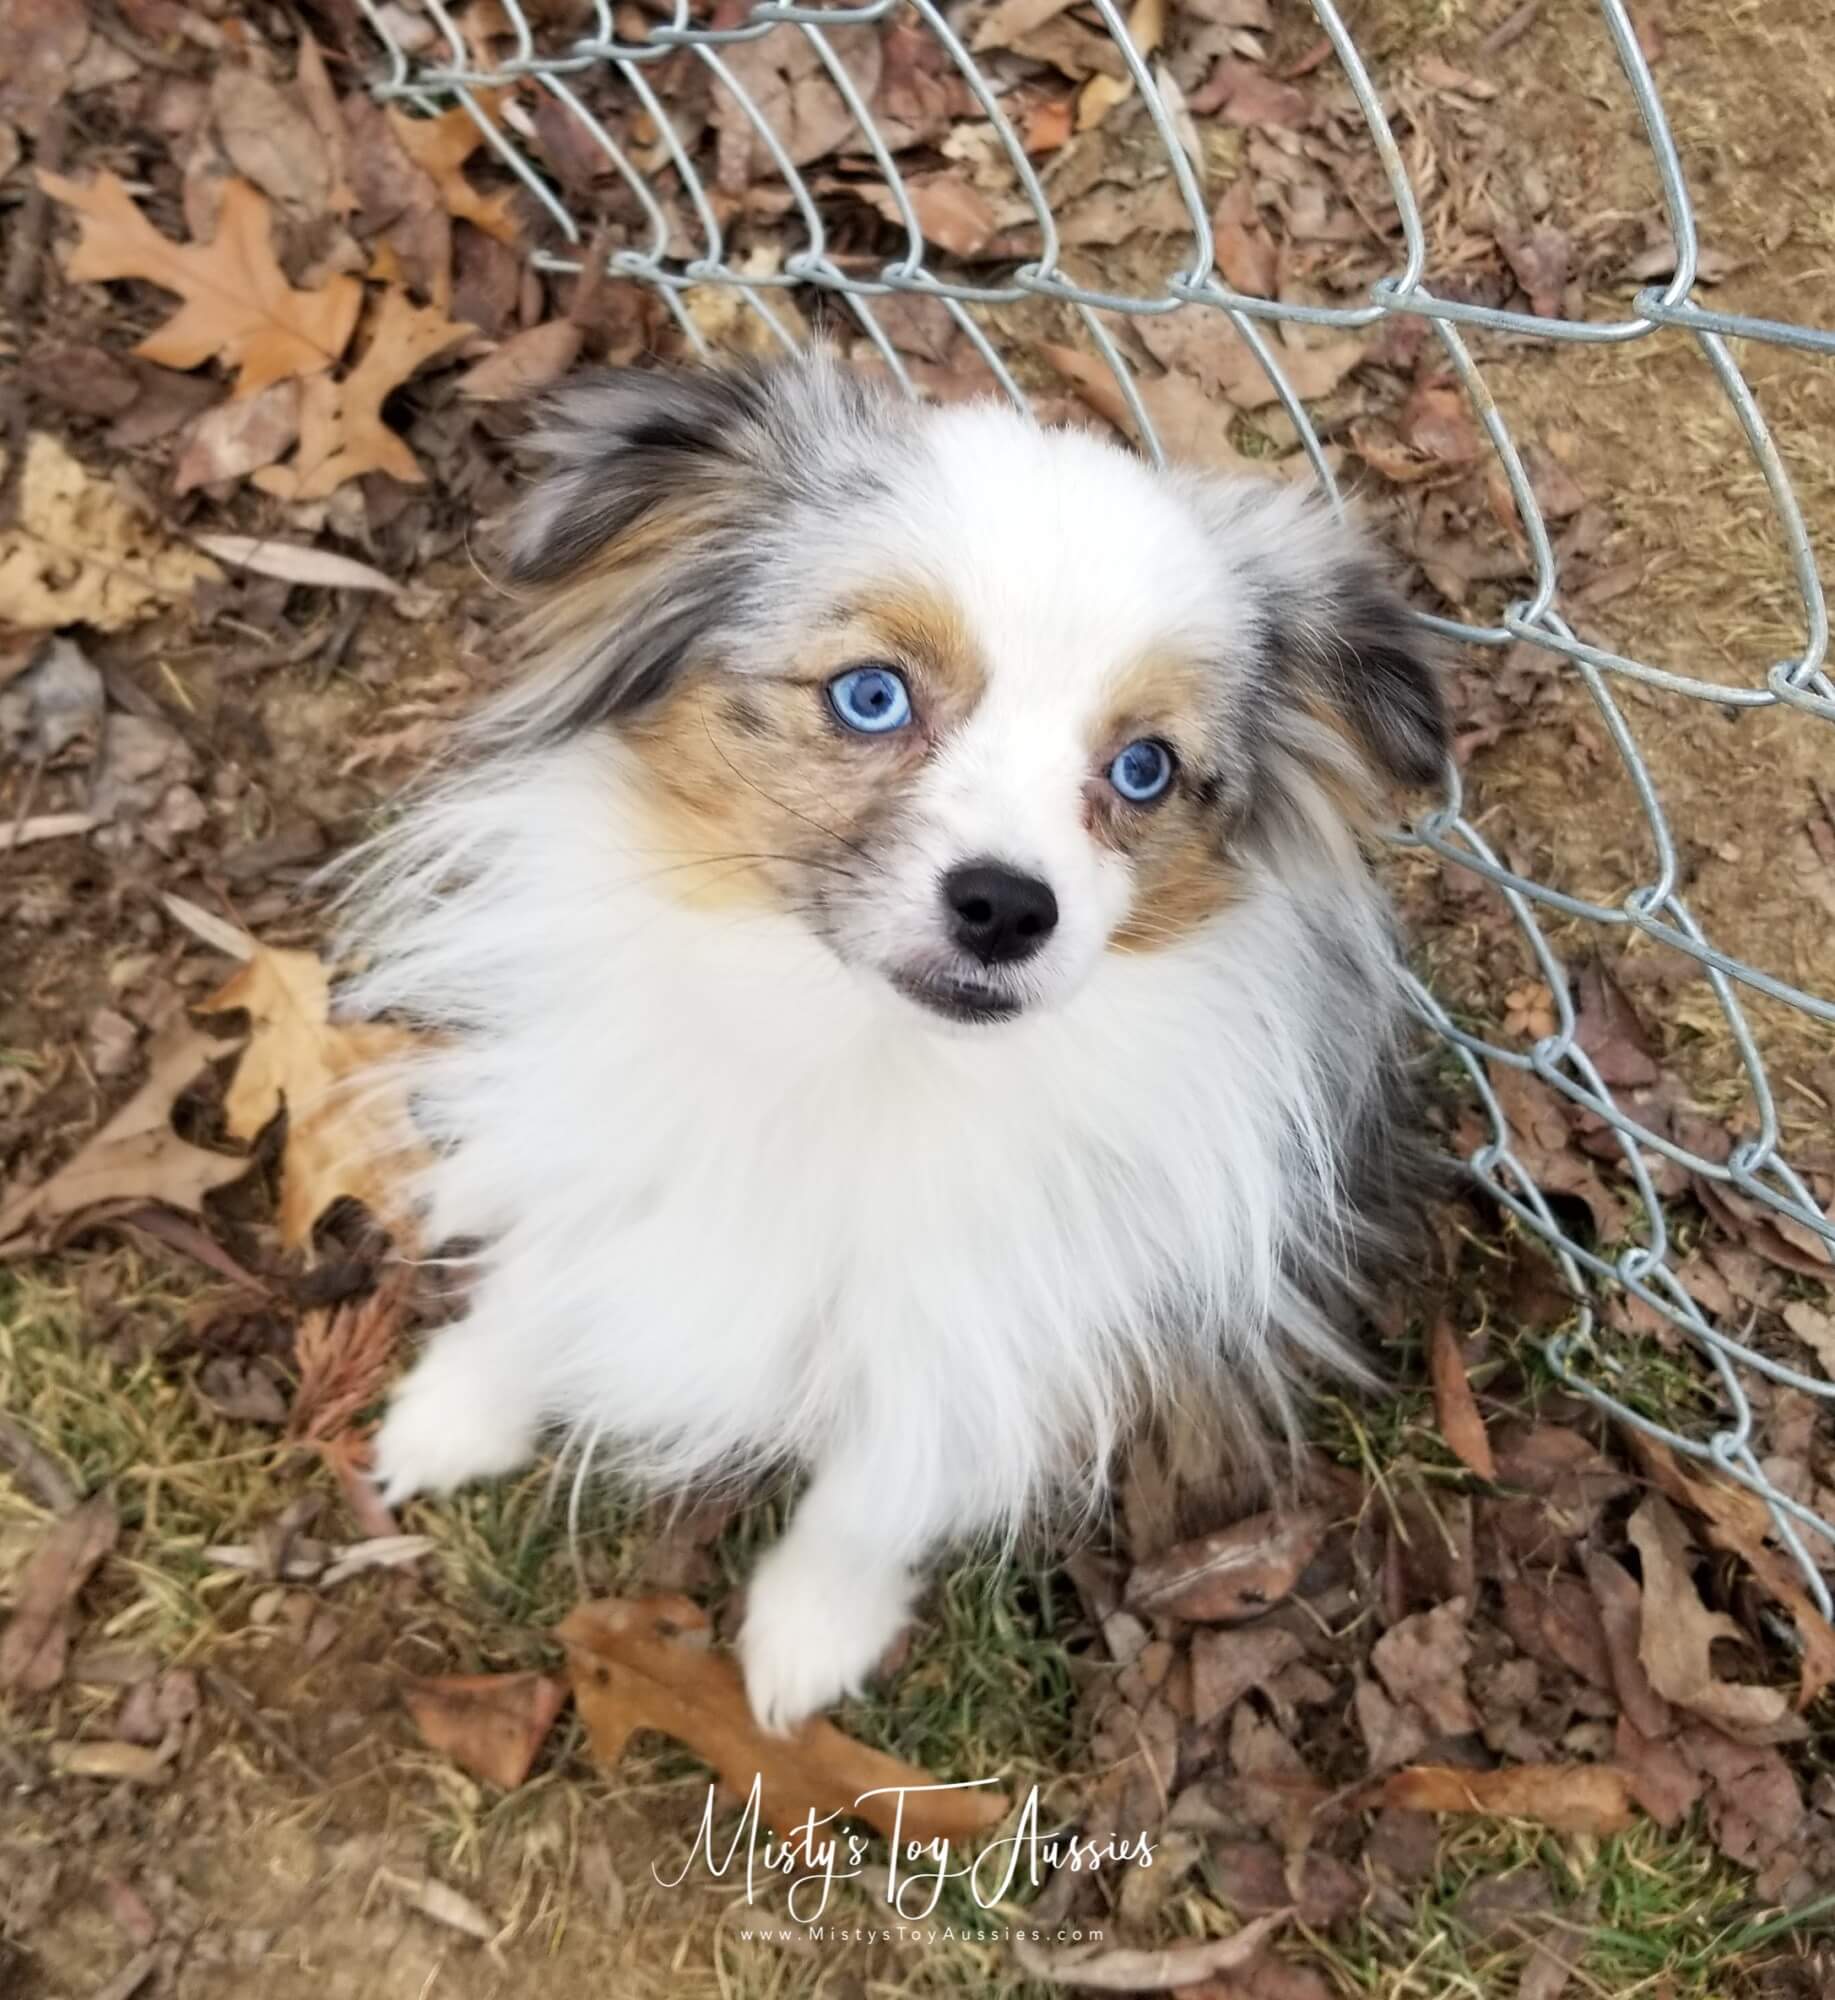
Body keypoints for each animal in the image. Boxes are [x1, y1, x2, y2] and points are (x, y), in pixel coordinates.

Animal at [347, 352, 1447, 1728]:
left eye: (1143, 768)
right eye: (870, 695)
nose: (1006, 907)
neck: (859, 1053)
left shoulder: (985, 1329)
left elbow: (875, 1493)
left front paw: (810, 1629)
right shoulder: (606, 1148)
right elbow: (542, 1283)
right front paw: (461, 1407)